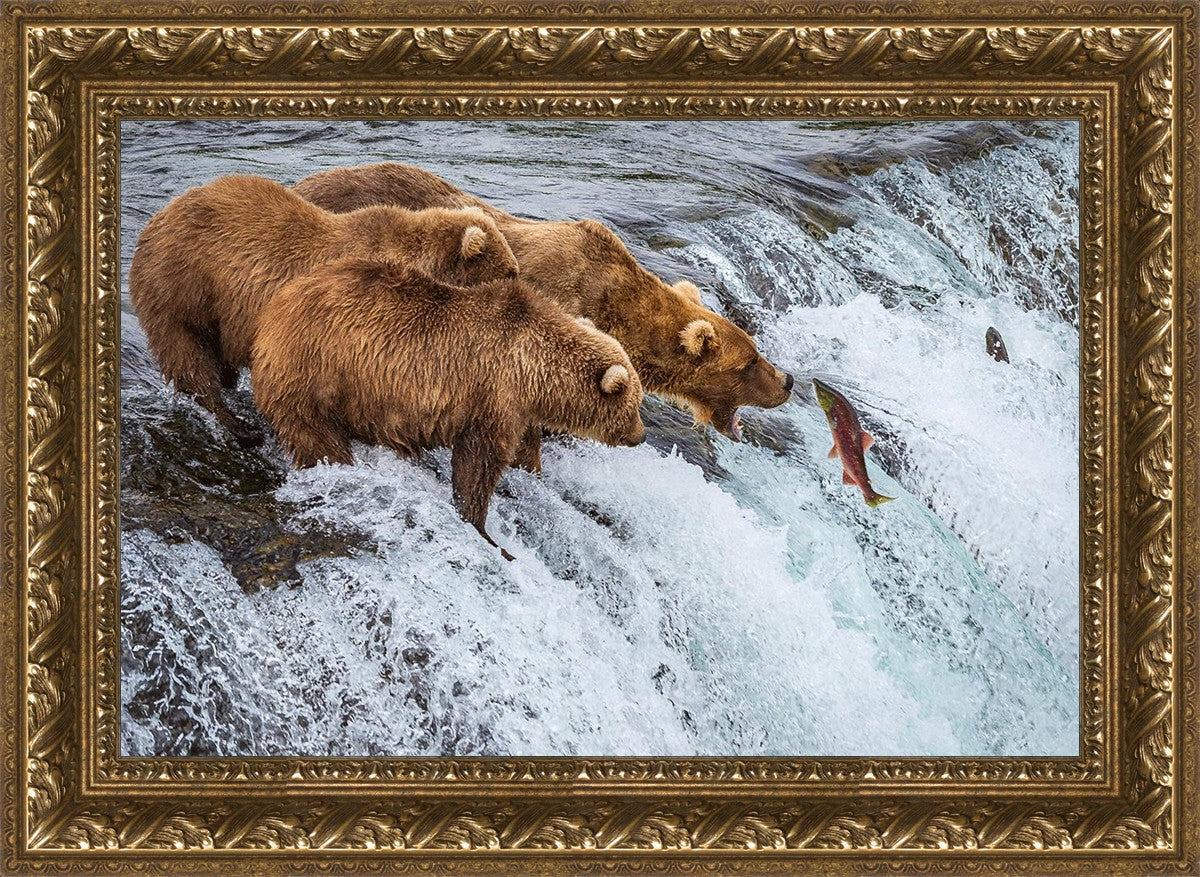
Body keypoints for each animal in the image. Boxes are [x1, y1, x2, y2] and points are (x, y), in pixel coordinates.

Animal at [129, 173, 519, 446]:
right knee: (189, 358)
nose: (521, 288)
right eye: (509, 272)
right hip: (183, 288)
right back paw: (239, 425)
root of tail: (155, 219)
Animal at [251, 257, 646, 558]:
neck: (534, 370)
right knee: (316, 436)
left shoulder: (518, 409)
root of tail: (273, 311)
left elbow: (522, 451)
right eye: (634, 405)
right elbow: (478, 464)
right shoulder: (493, 395)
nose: (640, 436)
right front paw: (485, 531)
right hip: (315, 373)